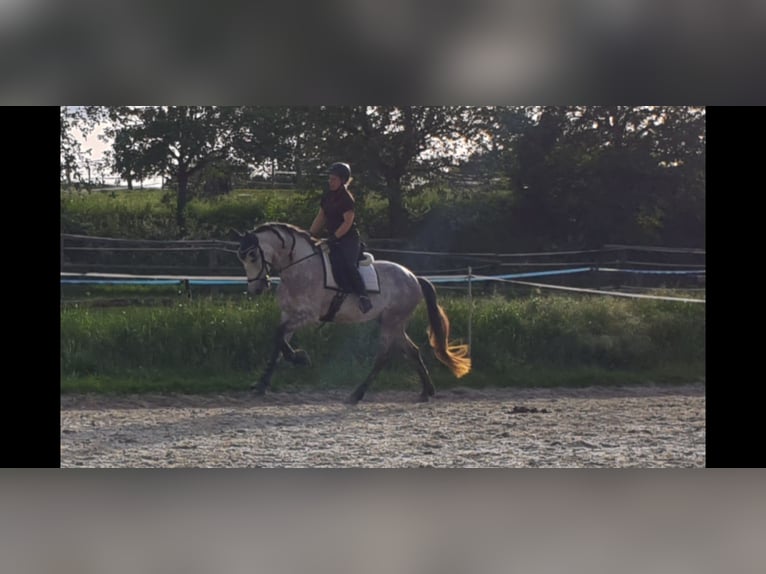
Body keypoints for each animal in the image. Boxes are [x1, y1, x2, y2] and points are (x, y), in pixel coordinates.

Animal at [228, 222, 472, 404]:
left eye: (252, 255)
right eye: (241, 257)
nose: (256, 289)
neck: (298, 268)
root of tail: (413, 277)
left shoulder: (306, 316)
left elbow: (279, 337)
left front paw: (300, 358)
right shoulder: (288, 314)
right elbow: (278, 344)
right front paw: (262, 384)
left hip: (392, 321)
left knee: (383, 356)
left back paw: (357, 394)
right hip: (393, 322)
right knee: (411, 351)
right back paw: (426, 391)